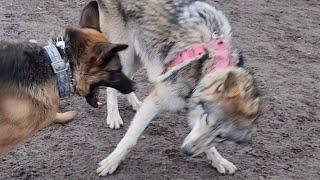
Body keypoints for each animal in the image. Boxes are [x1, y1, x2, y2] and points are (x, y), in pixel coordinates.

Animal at [91, 0, 262, 176]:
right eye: (207, 119)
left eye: (221, 136)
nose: (187, 152)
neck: (205, 67)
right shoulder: (155, 102)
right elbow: (130, 139)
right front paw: (112, 162)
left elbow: (208, 145)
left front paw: (219, 160)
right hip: (126, 54)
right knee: (112, 85)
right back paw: (113, 116)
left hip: (140, 55)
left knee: (127, 80)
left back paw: (135, 103)